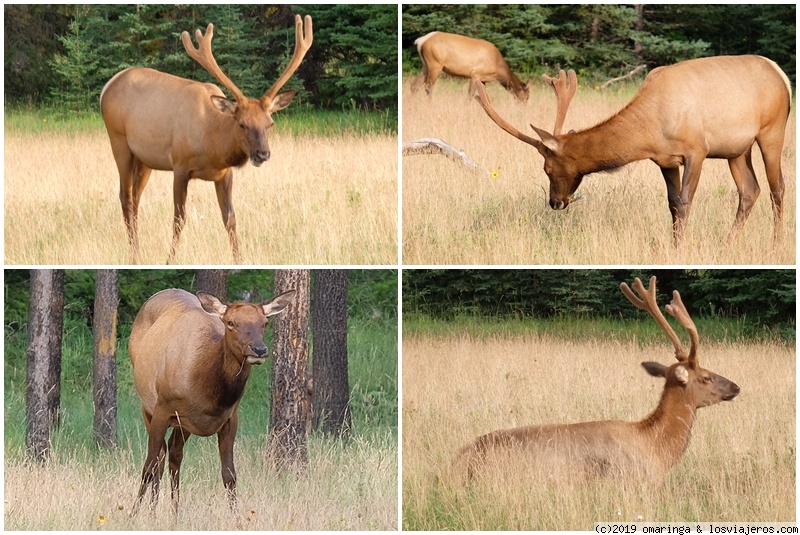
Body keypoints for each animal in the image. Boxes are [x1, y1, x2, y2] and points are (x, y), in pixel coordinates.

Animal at [100, 14, 312, 262]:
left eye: (270, 123)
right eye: (242, 124)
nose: (262, 154)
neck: (213, 145)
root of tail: (106, 87)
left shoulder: (225, 174)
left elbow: (230, 218)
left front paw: (239, 259)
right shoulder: (180, 165)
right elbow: (179, 219)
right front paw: (170, 259)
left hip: (144, 159)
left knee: (135, 199)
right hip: (118, 141)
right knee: (125, 198)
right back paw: (135, 256)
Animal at [130, 286, 296, 512]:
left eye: (265, 323)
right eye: (231, 322)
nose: (259, 349)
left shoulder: (230, 418)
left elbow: (230, 475)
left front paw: (236, 516)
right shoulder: (162, 408)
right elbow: (149, 465)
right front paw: (138, 514)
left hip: (182, 425)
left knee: (174, 454)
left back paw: (175, 512)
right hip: (147, 406)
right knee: (159, 458)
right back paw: (153, 509)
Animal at [472, 54, 792, 245]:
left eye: (547, 168)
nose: (555, 203)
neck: (650, 129)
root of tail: (782, 75)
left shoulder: (696, 150)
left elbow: (685, 202)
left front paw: (681, 247)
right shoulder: (665, 159)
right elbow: (672, 204)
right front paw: (674, 245)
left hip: (772, 130)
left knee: (777, 187)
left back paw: (776, 243)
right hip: (736, 149)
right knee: (750, 190)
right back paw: (727, 242)